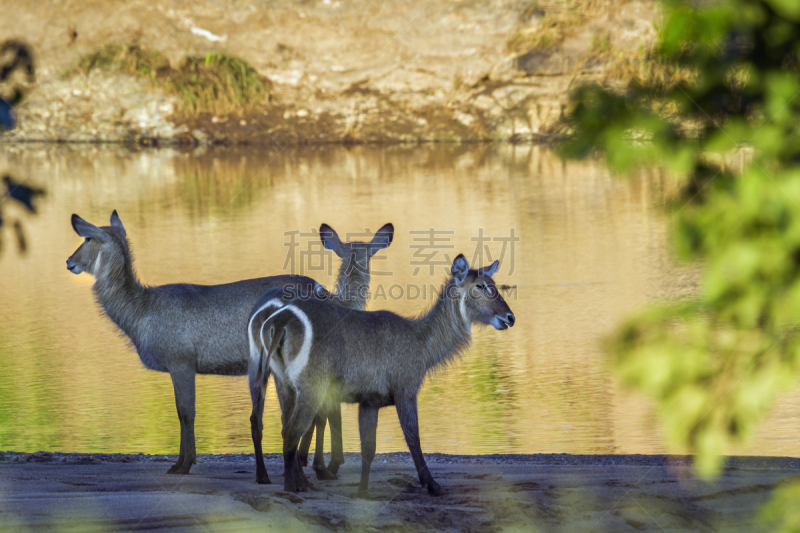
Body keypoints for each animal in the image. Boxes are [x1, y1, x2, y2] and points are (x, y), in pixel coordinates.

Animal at [67, 210, 392, 476]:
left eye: (87, 237)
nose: (69, 261)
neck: (141, 311)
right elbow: (183, 412)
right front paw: (183, 461)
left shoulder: (181, 361)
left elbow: (185, 412)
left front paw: (183, 464)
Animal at [247, 254, 516, 494]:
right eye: (480, 285)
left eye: (494, 284)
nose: (510, 317)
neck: (421, 343)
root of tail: (281, 318)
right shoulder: (406, 390)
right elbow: (413, 439)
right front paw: (433, 485)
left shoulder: (369, 401)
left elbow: (369, 449)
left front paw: (363, 491)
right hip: (310, 388)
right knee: (292, 432)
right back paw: (292, 488)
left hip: (284, 384)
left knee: (284, 430)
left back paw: (301, 483)